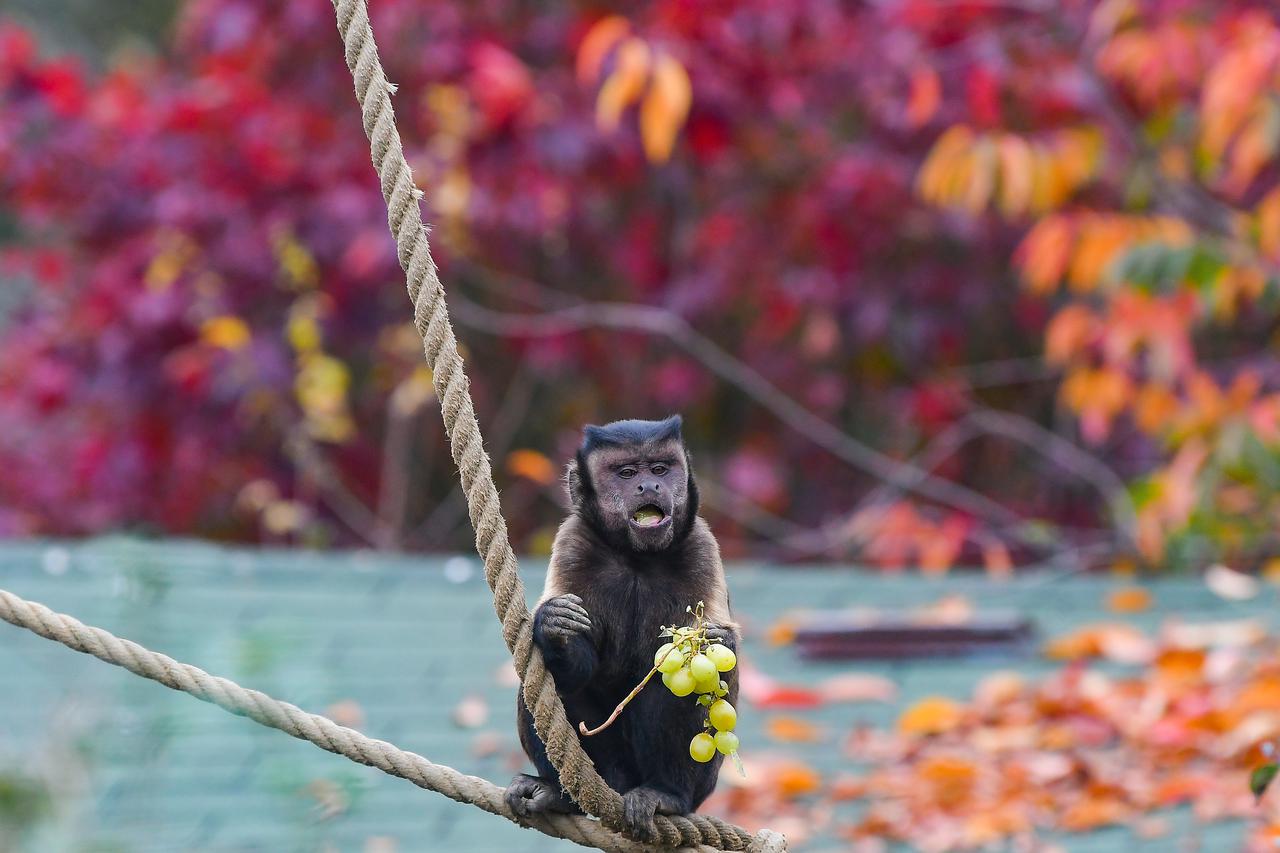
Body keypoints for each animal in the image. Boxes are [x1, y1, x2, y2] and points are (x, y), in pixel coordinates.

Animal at [501, 412, 742, 835]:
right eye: (627, 473)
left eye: (660, 468)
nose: (649, 485)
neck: (635, 557)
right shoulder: (573, 543)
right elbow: (575, 666)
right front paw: (553, 627)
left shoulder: (701, 545)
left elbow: (717, 660)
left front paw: (716, 640)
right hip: (607, 767)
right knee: (543, 681)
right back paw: (557, 793)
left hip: (698, 786)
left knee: (672, 688)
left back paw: (665, 795)